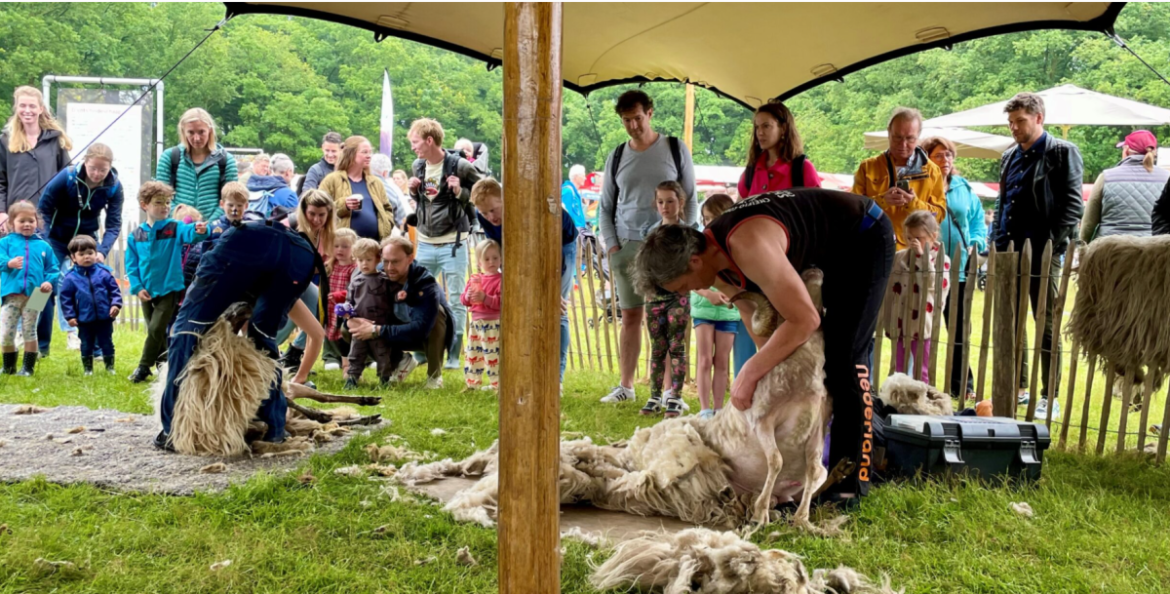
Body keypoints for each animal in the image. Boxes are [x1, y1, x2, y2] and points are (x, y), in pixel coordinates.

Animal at [155, 304, 381, 456]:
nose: (246, 302)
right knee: (320, 412)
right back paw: (364, 416)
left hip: (294, 388)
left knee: (322, 399)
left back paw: (368, 404)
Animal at [397, 268, 837, 533]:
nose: (818, 269)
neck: (802, 371)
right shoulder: (762, 420)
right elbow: (777, 461)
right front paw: (764, 512)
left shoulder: (816, 430)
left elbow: (816, 472)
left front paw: (802, 520)